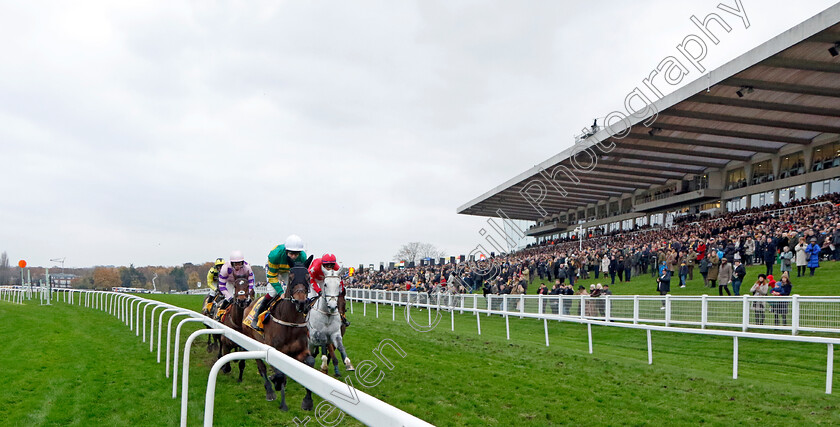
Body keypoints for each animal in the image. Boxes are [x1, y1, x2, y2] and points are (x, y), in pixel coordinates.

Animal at [243, 260, 316, 412]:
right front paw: (277, 385)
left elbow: (310, 363)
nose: (301, 303)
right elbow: (279, 374)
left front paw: (307, 401)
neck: (290, 322)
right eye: (291, 277)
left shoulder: (299, 351)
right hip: (252, 341)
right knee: (261, 368)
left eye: (308, 277)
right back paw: (270, 390)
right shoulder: (274, 350)